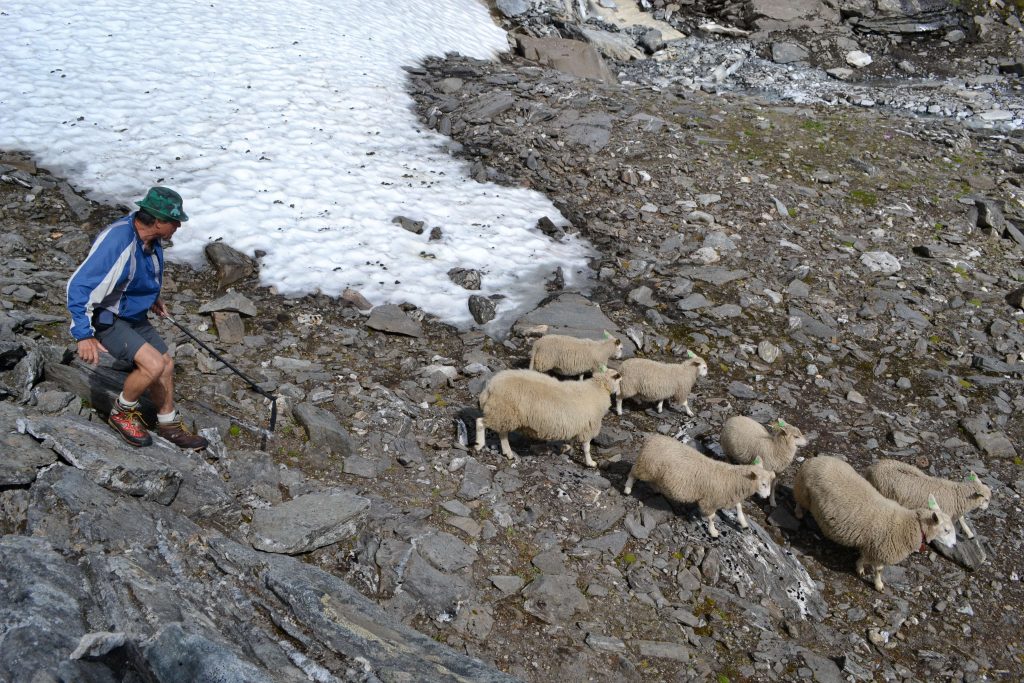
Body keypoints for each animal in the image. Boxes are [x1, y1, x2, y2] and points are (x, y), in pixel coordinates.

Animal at [473, 368, 622, 471]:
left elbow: (572, 441)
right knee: (480, 422)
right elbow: (586, 448)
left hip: (505, 414)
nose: (619, 394)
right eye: (620, 381)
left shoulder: (576, 425)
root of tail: (489, 387)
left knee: (502, 433)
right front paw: (590, 462)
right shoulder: (588, 427)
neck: (598, 388)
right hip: (502, 411)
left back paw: (508, 453)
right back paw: (479, 445)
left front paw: (568, 449)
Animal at [618, 432, 770, 540]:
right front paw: (713, 531)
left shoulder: (727, 496)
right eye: (763, 484)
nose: (767, 496)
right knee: (632, 472)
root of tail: (651, 439)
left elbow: (738, 507)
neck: (734, 479)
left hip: (653, 471)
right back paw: (627, 489)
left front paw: (743, 523)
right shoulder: (709, 500)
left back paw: (656, 489)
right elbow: (711, 517)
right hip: (646, 466)